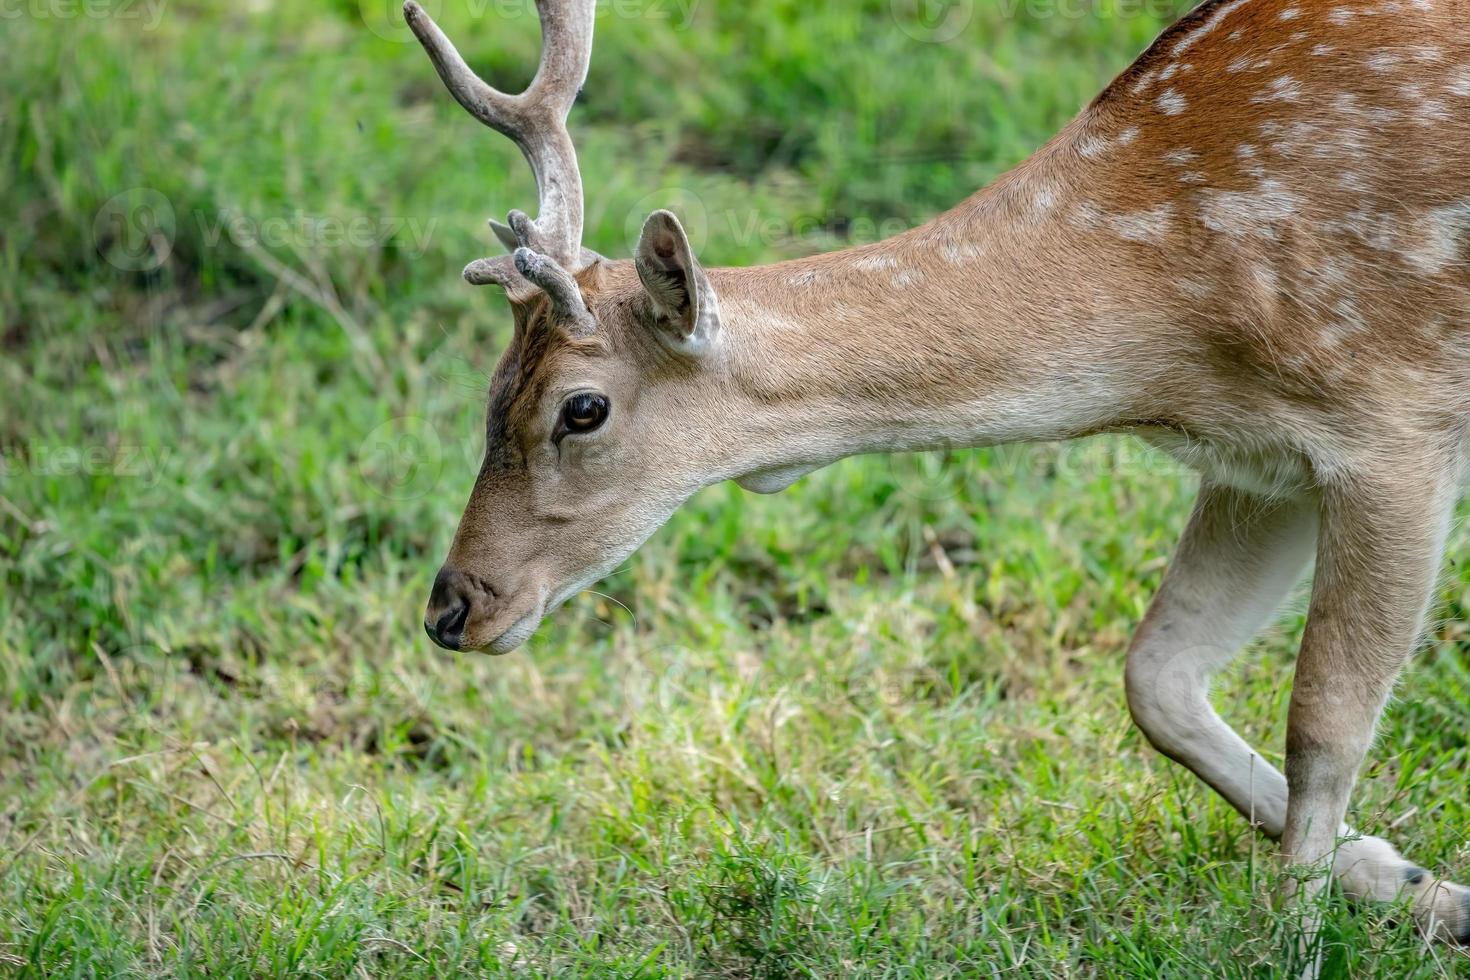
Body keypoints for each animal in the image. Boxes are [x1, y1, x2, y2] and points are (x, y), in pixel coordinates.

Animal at [411, 0, 1470, 952]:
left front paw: (1293, 937)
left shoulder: (1393, 418)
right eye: (493, 386)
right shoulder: (1261, 460)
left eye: (581, 409)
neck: (1175, 315)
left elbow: (1324, 720)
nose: (452, 607)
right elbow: (1157, 675)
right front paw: (1416, 885)